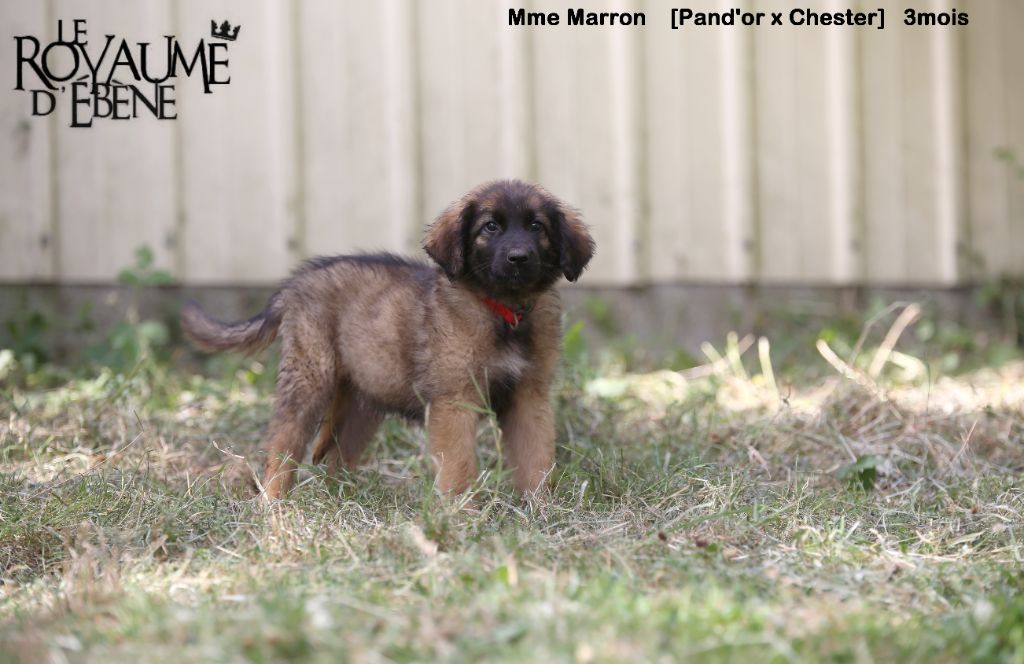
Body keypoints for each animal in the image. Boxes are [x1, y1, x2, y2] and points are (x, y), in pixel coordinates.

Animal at [181, 180, 595, 499]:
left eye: (537, 226)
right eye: (490, 227)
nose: (518, 258)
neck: (505, 312)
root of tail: (295, 283)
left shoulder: (529, 397)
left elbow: (535, 459)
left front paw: (540, 510)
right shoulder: (454, 401)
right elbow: (459, 465)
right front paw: (462, 515)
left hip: (363, 401)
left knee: (338, 458)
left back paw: (340, 504)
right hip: (309, 377)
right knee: (283, 445)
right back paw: (274, 506)